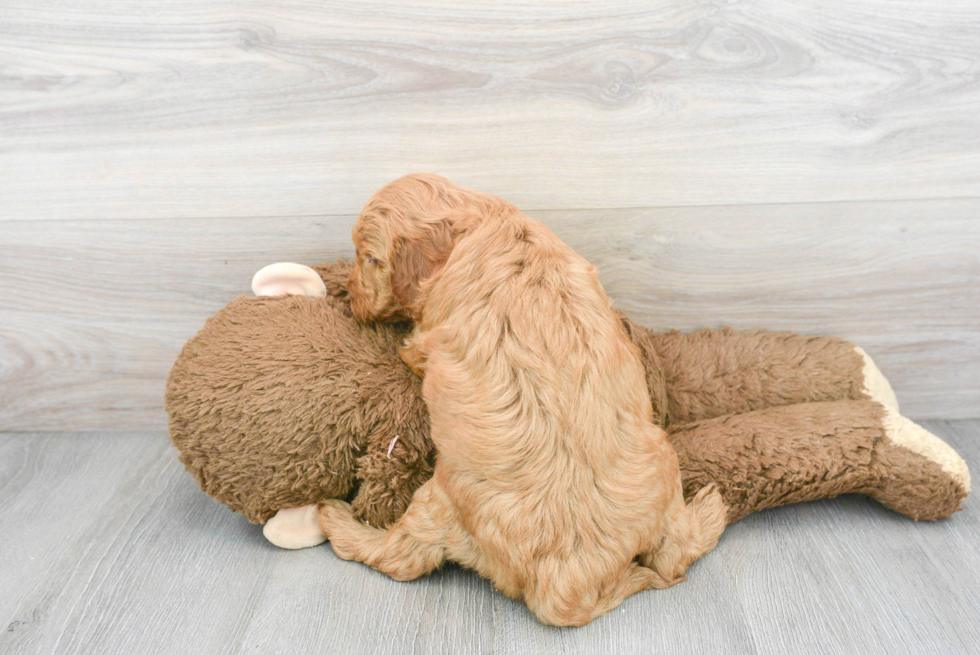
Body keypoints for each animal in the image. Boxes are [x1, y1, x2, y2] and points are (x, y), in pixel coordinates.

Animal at [324, 173, 728, 624]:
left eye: (369, 258)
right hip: (664, 466)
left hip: (437, 504)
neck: (482, 224)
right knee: (676, 554)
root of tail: (569, 579)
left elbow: (411, 347)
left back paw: (336, 519)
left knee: (399, 557)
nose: (351, 295)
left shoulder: (423, 340)